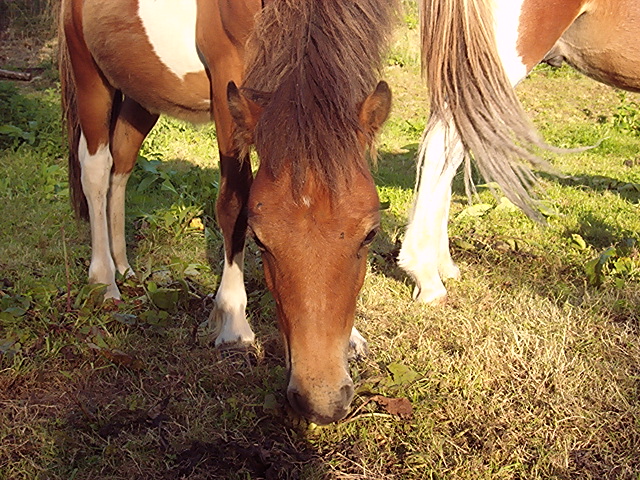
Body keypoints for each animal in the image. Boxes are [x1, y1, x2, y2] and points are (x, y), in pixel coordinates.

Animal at [57, 0, 396, 424]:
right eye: (260, 240)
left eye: (370, 234)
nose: (322, 400)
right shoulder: (226, 82)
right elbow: (234, 199)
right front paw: (233, 321)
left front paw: (351, 339)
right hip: (91, 76)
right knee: (97, 169)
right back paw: (104, 282)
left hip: (141, 95)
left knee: (122, 163)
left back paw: (124, 265)